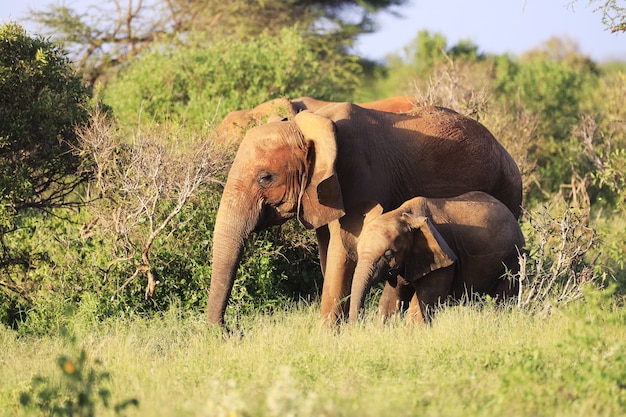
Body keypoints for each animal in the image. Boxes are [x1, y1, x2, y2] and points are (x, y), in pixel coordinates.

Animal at [348, 190, 524, 324]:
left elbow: (421, 305)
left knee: (505, 299)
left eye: (388, 253)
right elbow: (390, 301)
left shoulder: (444, 259)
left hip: (514, 259)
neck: (404, 215)